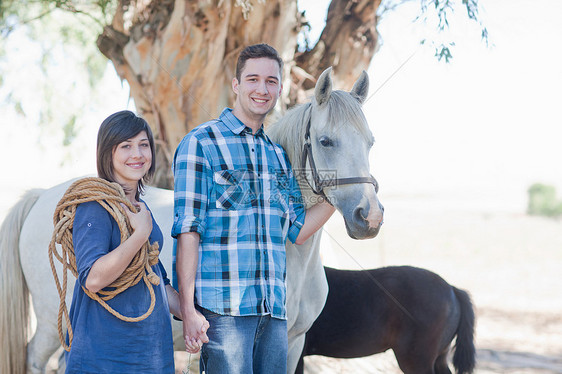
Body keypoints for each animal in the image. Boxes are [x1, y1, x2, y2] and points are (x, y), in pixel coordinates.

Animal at [0, 67, 382, 374]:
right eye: (325, 141)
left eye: (370, 142)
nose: (370, 216)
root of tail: (41, 197)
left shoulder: (291, 344)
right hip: (51, 323)